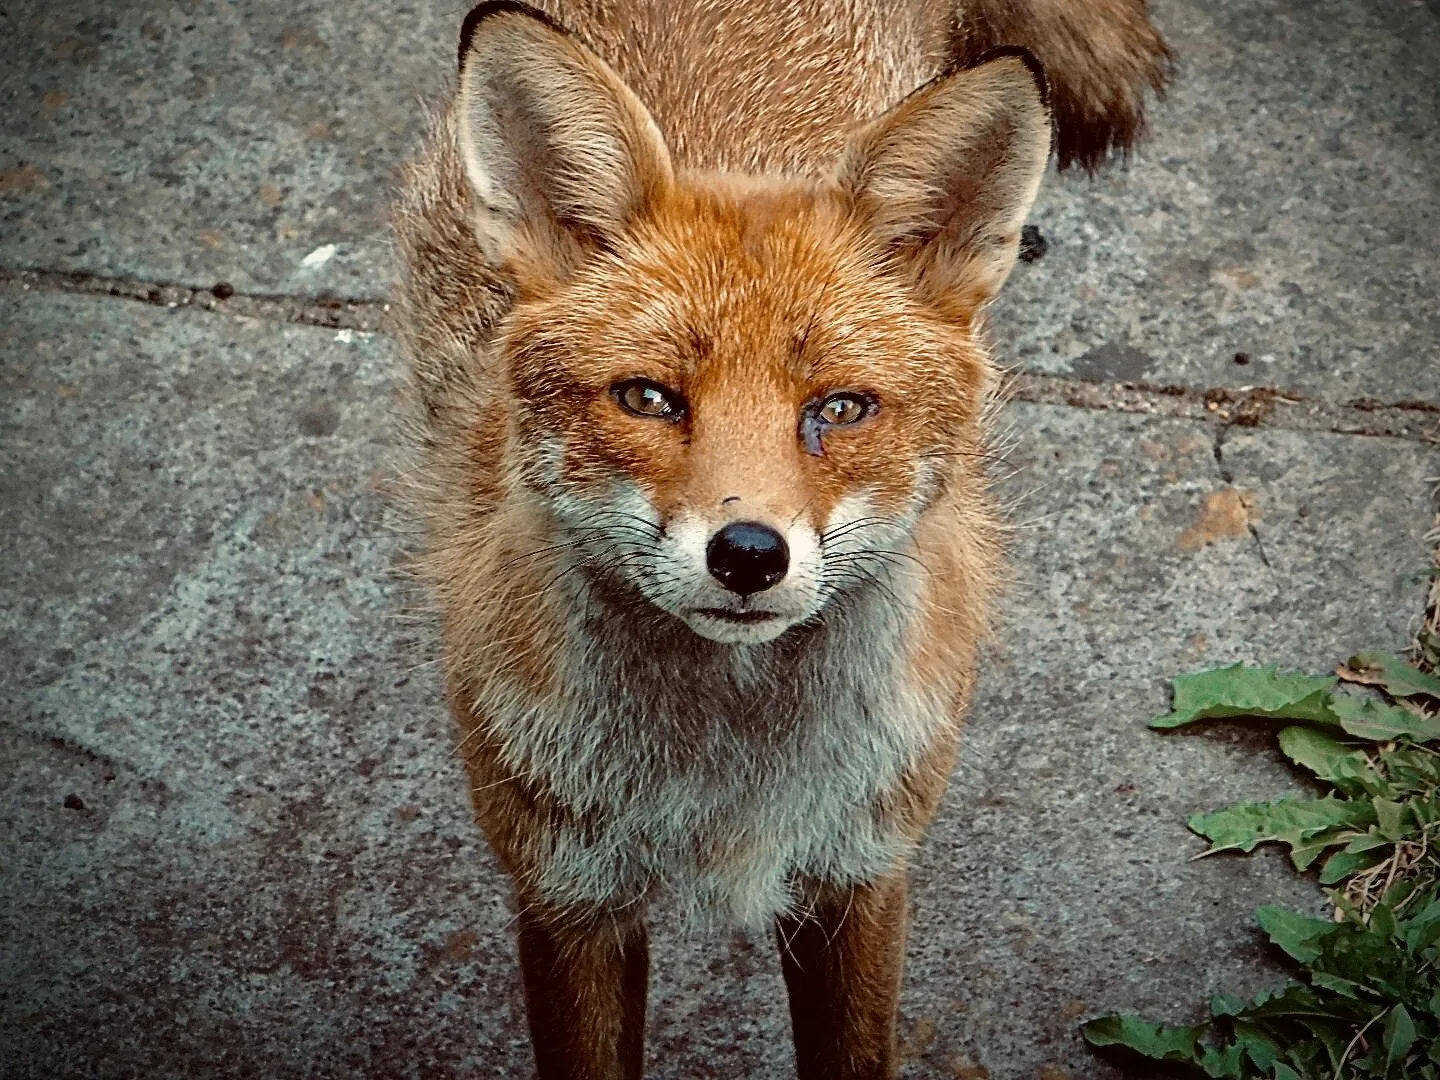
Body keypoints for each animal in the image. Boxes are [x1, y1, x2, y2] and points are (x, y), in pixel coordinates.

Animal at [392, 1, 1170, 1076]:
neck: (728, 776)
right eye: (649, 398)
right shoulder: (567, 898)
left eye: (839, 409)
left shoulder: (860, 874)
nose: (749, 555)